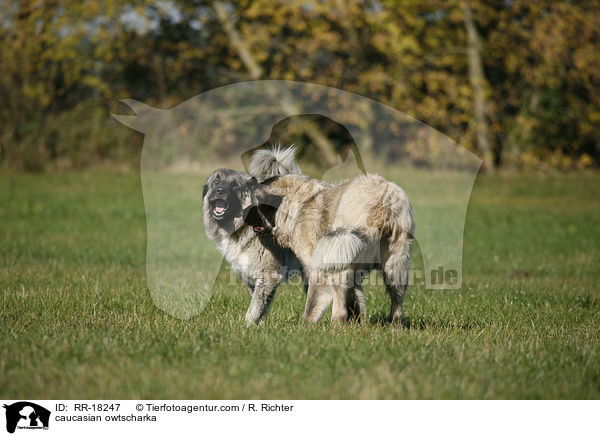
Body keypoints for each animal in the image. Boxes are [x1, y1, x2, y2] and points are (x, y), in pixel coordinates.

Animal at [202, 146, 304, 324]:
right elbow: (261, 306)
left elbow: (254, 308)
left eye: (235, 185)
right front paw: (260, 326)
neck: (242, 227)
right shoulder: (251, 278)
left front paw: (247, 325)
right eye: (216, 182)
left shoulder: (268, 276)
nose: (220, 191)